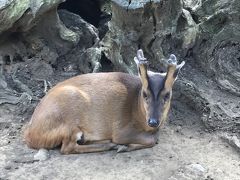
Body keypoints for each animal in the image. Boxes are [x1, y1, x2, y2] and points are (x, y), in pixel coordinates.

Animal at [24, 49, 185, 155]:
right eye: (145, 94)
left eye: (167, 95)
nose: (153, 121)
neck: (137, 109)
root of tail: (30, 135)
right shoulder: (121, 130)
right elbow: (153, 140)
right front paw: (123, 146)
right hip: (70, 118)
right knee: (67, 148)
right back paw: (110, 145)